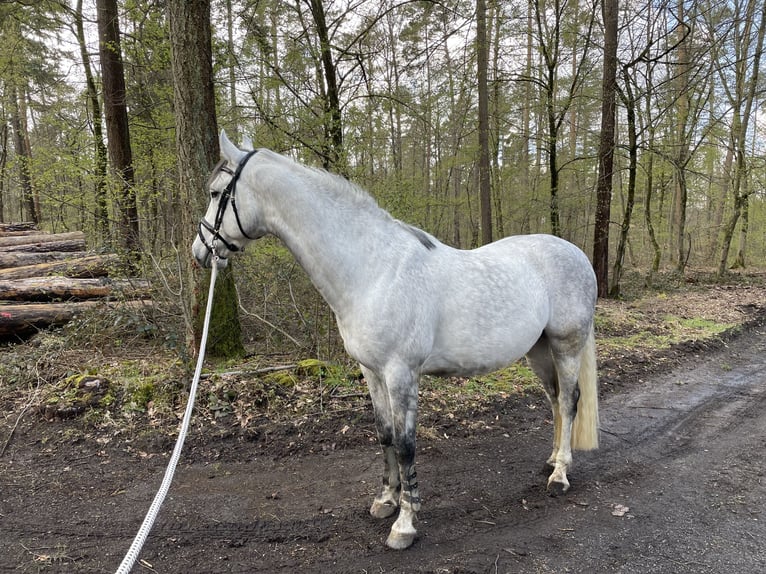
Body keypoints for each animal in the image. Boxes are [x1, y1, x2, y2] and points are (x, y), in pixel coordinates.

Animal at [192, 130, 599, 550]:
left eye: (215, 192)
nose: (200, 251)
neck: (372, 271)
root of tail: (576, 254)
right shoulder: (371, 372)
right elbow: (385, 434)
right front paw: (386, 500)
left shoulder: (401, 373)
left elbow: (406, 445)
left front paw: (405, 524)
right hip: (538, 350)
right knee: (554, 398)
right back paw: (552, 459)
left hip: (566, 345)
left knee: (569, 401)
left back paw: (560, 474)